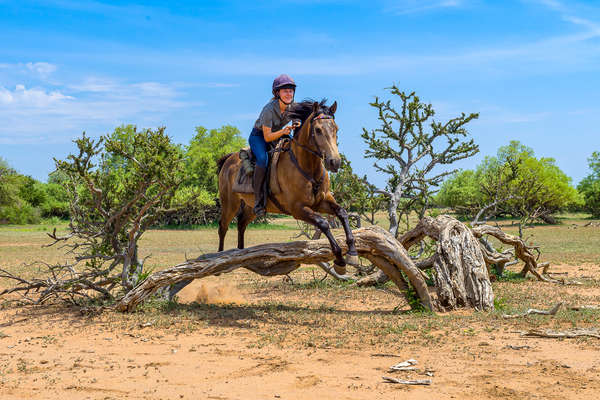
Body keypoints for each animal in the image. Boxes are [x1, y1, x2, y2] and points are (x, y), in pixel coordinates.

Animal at [214, 99, 356, 274]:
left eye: (336, 128)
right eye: (318, 130)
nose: (334, 162)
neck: (307, 167)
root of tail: (228, 160)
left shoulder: (322, 201)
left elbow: (342, 213)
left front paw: (352, 252)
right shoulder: (298, 209)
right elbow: (323, 223)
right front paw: (340, 260)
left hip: (250, 206)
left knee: (241, 224)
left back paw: (241, 255)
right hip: (230, 203)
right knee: (223, 227)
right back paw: (220, 260)